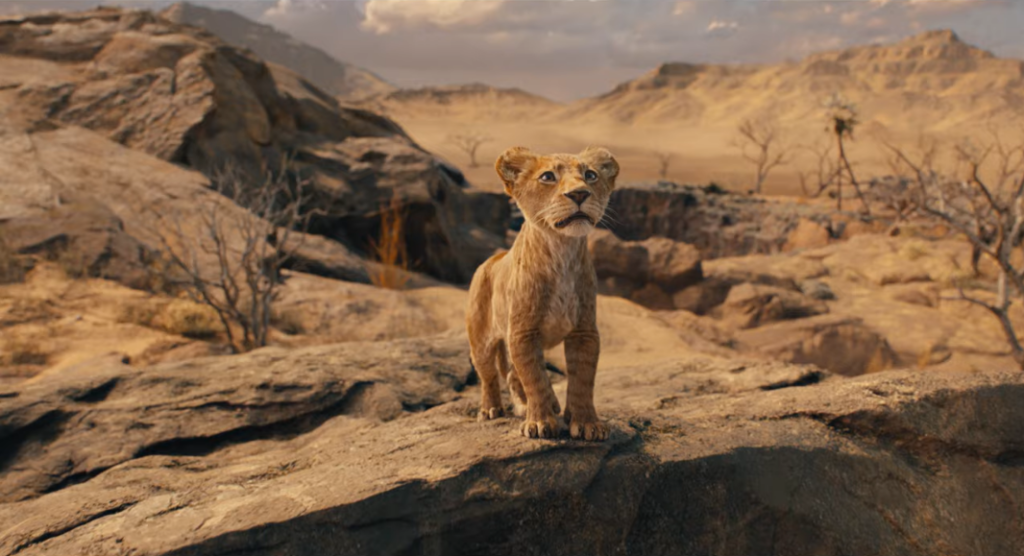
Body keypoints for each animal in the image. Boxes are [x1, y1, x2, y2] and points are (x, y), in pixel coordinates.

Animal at [465, 146, 619, 441]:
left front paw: (587, 423)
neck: (561, 252)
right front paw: (539, 423)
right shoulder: (523, 332)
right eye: (548, 176)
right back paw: (491, 409)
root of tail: (491, 259)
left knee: (513, 374)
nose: (579, 194)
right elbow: (534, 377)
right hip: (481, 341)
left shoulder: (584, 332)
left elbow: (583, 379)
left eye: (590, 175)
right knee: (490, 375)